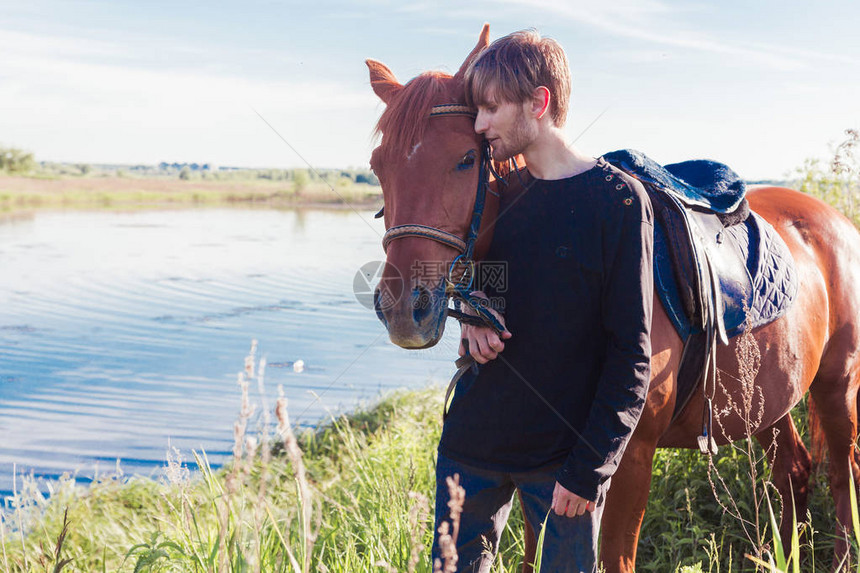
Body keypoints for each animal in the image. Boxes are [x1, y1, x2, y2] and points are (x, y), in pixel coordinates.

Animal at [366, 24, 860, 568]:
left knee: (842, 473)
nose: (402, 309)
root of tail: (835, 220)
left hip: (837, 383)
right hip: (770, 396)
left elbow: (612, 558)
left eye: (467, 159)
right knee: (793, 470)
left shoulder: (625, 461)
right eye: (378, 166)